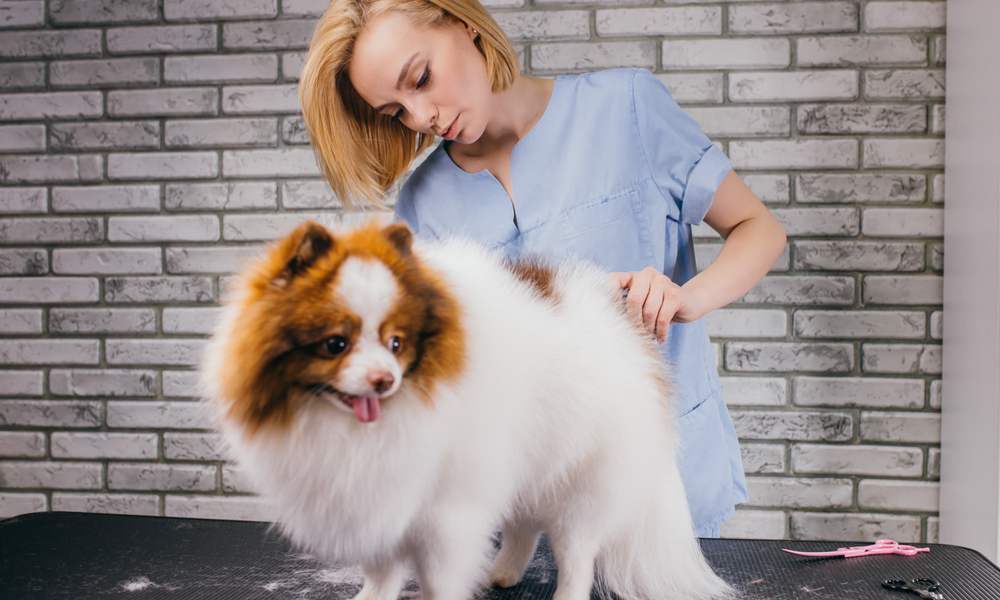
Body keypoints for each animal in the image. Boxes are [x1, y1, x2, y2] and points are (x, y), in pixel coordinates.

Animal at [203, 220, 736, 600]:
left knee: (577, 551)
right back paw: (502, 574)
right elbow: (381, 571)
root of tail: (620, 325)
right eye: (336, 343)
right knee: (524, 525)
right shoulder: (378, 499)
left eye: (396, 343)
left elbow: (440, 578)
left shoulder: (446, 513)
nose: (384, 380)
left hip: (585, 479)